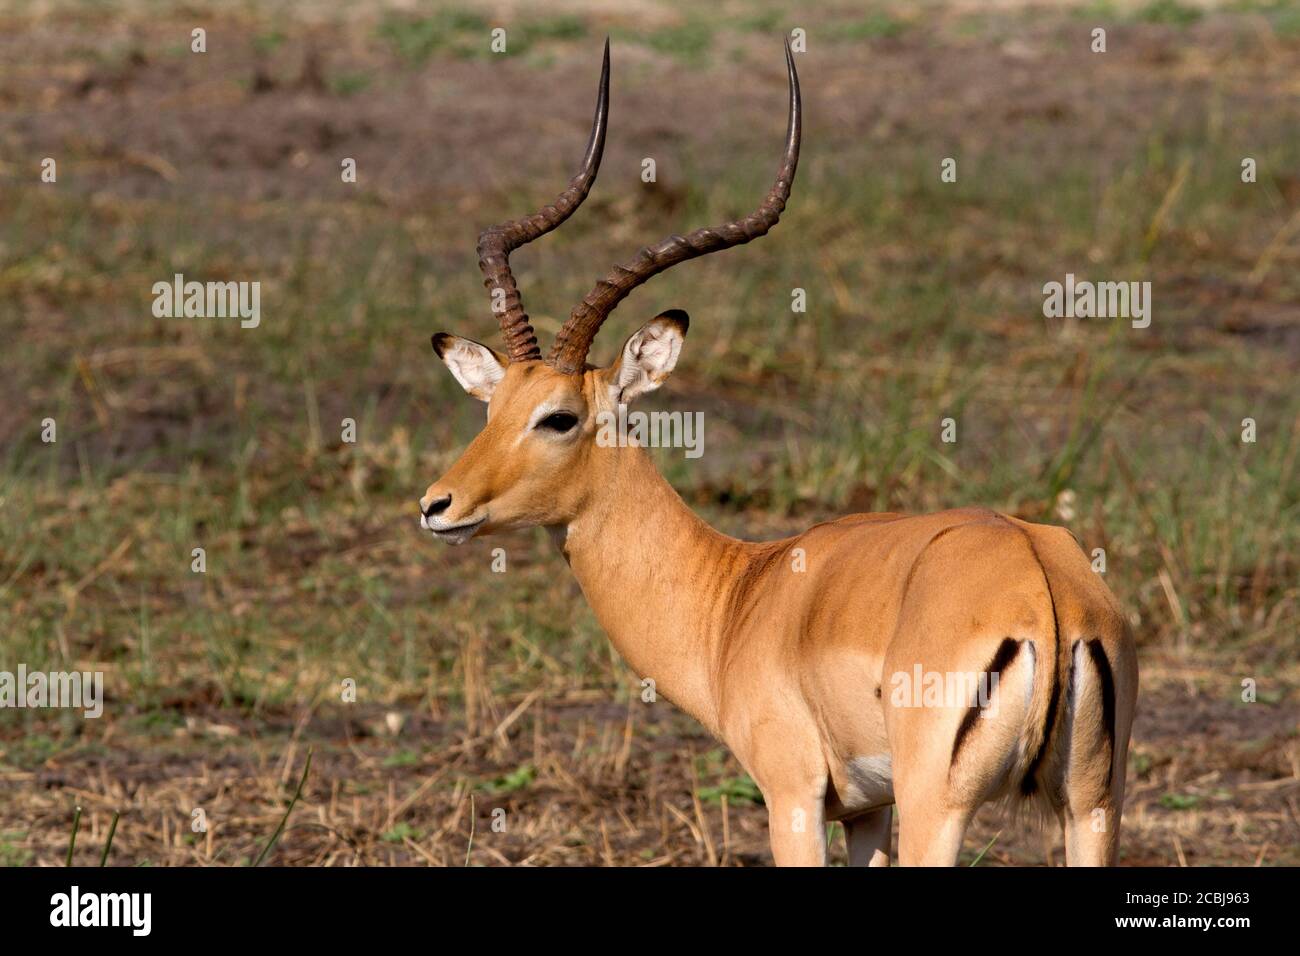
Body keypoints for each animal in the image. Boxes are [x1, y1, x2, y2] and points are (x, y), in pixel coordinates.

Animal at [420, 40, 1138, 866]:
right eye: (492, 407)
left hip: (942, 808)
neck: (738, 596)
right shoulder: (867, 810)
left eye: (559, 417)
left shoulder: (793, 796)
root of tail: (1042, 587)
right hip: (1091, 807)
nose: (437, 505)